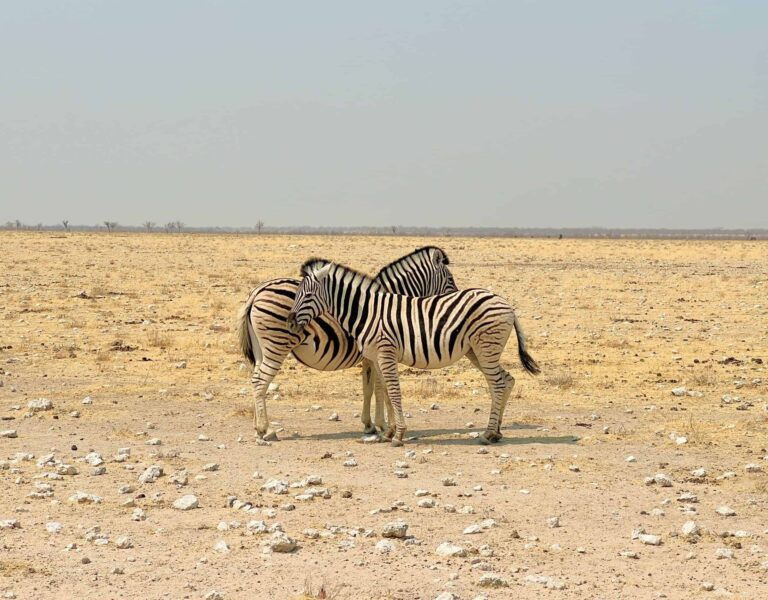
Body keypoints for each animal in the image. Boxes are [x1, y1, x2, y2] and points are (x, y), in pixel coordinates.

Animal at [236, 247, 457, 440]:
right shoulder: (379, 352)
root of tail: (257, 292)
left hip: (261, 348)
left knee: (256, 379)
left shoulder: (370, 355)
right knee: (261, 381)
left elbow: (369, 387)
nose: (455, 296)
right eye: (450, 279)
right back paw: (264, 428)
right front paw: (386, 425)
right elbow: (381, 388)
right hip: (277, 344)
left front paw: (370, 424)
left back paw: (258, 426)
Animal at [286, 259, 540, 445]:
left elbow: (393, 392)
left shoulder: (386, 352)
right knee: (505, 380)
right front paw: (388, 432)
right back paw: (496, 432)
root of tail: (506, 304)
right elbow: (384, 390)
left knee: (497, 383)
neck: (367, 312)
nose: (289, 322)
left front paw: (398, 435)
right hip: (476, 351)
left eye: (307, 296)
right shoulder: (376, 356)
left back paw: (488, 434)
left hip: (486, 347)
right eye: (296, 294)